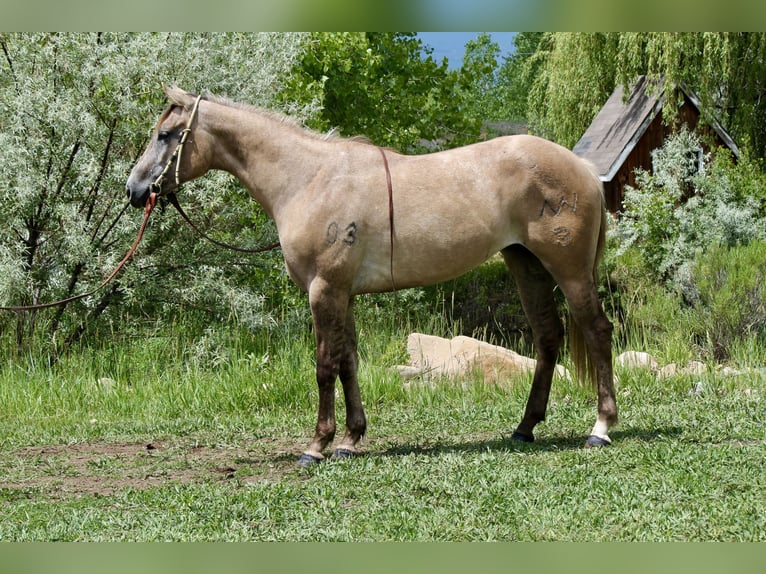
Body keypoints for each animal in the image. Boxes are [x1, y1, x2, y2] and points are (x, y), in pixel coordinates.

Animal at [126, 85, 617, 466]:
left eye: (165, 135)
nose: (134, 189)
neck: (309, 179)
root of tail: (583, 169)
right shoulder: (342, 293)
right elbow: (348, 362)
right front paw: (349, 438)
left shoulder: (324, 290)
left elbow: (325, 366)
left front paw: (317, 445)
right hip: (525, 265)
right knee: (548, 338)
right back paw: (525, 427)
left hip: (569, 271)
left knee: (596, 330)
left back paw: (601, 427)